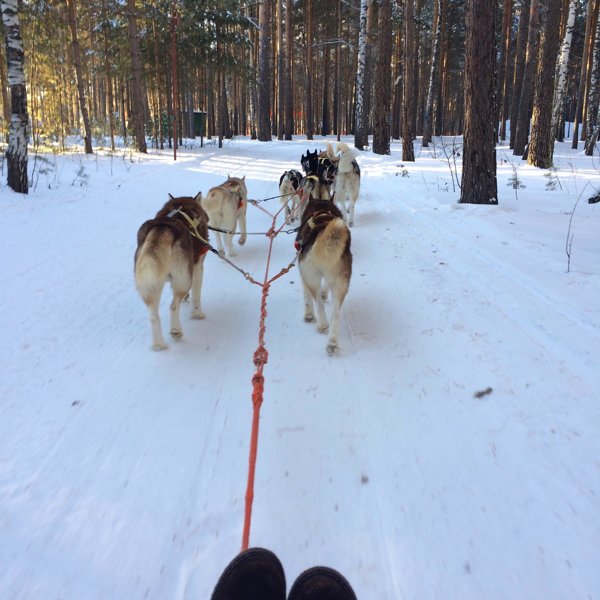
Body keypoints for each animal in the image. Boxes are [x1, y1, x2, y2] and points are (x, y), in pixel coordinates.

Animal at [135, 192, 210, 352]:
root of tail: (164, 226)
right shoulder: (197, 266)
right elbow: (196, 295)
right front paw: (197, 313)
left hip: (151, 282)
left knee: (153, 316)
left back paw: (159, 345)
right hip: (183, 280)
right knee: (173, 306)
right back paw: (176, 331)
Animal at [296, 192, 352, 354]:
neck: (321, 212)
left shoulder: (303, 273)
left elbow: (307, 297)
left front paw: (308, 314)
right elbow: (325, 287)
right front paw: (324, 293)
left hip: (311, 276)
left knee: (318, 304)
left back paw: (322, 325)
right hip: (341, 285)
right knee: (336, 314)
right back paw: (332, 343)